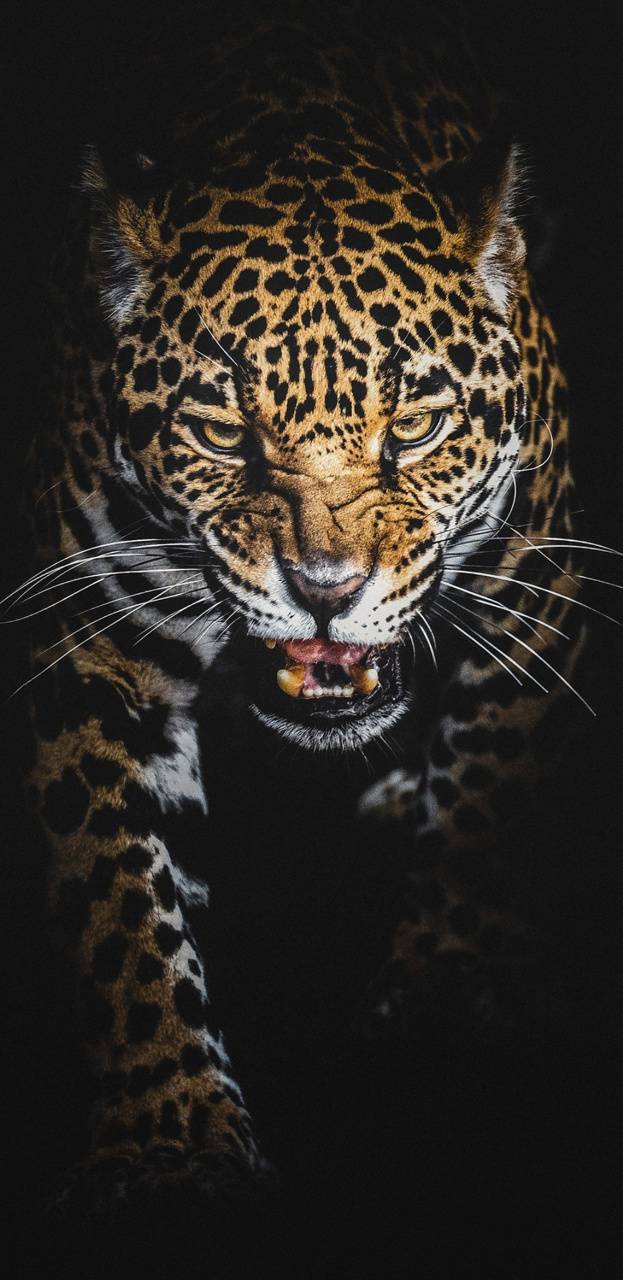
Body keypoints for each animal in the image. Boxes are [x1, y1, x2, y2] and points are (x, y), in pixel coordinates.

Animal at [11, 0, 593, 1241]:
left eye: (415, 424)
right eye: (222, 431)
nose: (325, 585)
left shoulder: (535, 572)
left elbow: (490, 783)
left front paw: (449, 990)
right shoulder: (87, 633)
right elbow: (113, 900)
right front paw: (172, 1142)